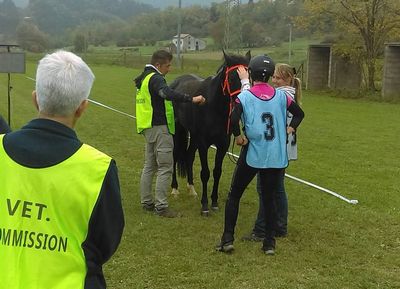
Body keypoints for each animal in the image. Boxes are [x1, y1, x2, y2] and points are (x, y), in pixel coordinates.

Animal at [169, 50, 250, 215]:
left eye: (249, 74)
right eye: (232, 77)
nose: (241, 102)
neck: (214, 107)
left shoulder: (223, 145)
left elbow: (217, 172)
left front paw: (214, 202)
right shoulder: (203, 144)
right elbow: (205, 173)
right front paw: (205, 205)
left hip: (193, 136)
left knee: (189, 156)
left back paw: (192, 189)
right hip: (178, 132)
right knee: (174, 156)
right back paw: (175, 189)